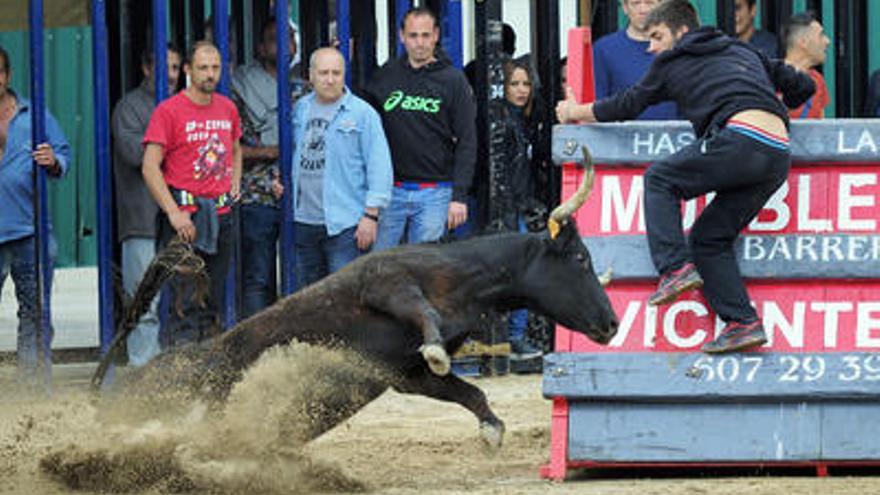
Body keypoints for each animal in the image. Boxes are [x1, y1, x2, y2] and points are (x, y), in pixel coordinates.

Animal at [96, 147, 616, 450]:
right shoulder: (385, 284)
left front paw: (491, 429)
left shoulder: (405, 375)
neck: (465, 280)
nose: (611, 323)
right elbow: (422, 314)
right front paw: (435, 345)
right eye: (581, 258)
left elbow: (469, 391)